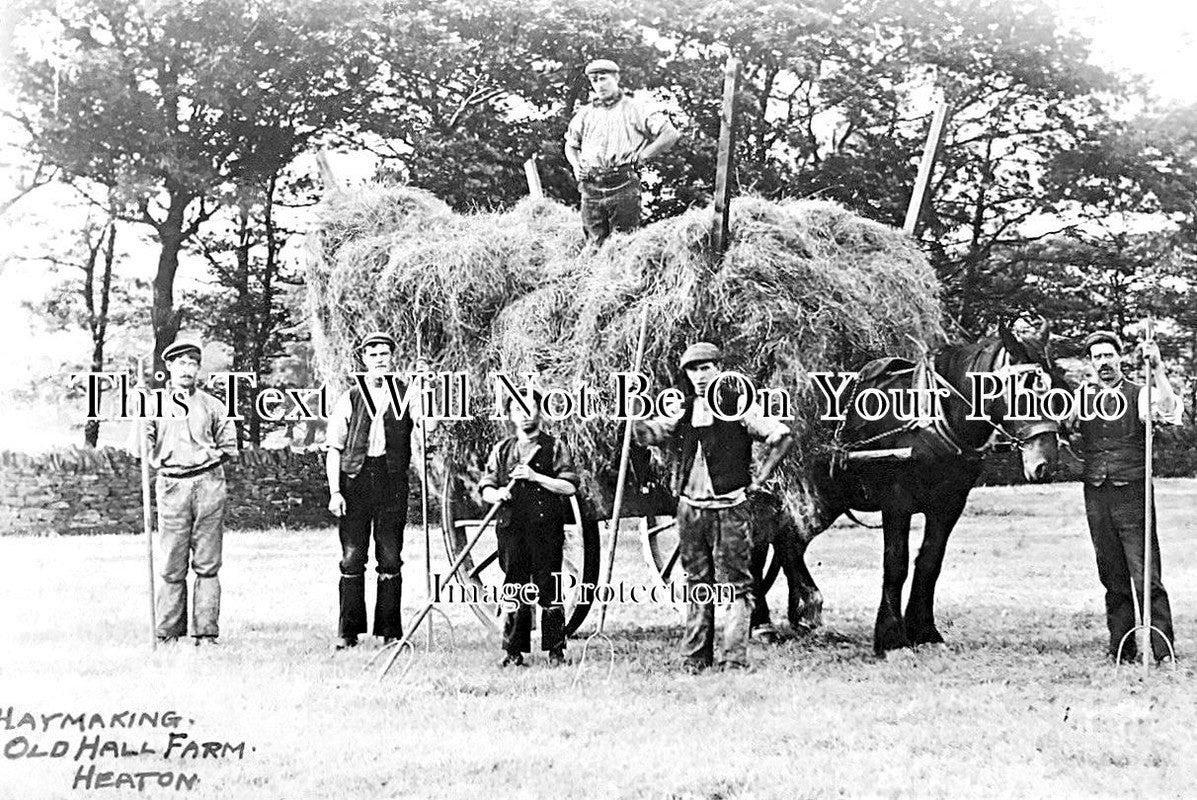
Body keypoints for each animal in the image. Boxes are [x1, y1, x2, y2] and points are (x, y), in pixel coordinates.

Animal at [751, 320, 1072, 651]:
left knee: (788, 542)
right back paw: (766, 622)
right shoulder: (897, 500)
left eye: (1057, 389)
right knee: (761, 547)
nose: (1045, 463)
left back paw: (800, 615)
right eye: (1022, 388)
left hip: (821, 501)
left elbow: (930, 561)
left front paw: (924, 630)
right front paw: (889, 633)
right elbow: (897, 562)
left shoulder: (949, 504)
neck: (935, 415)